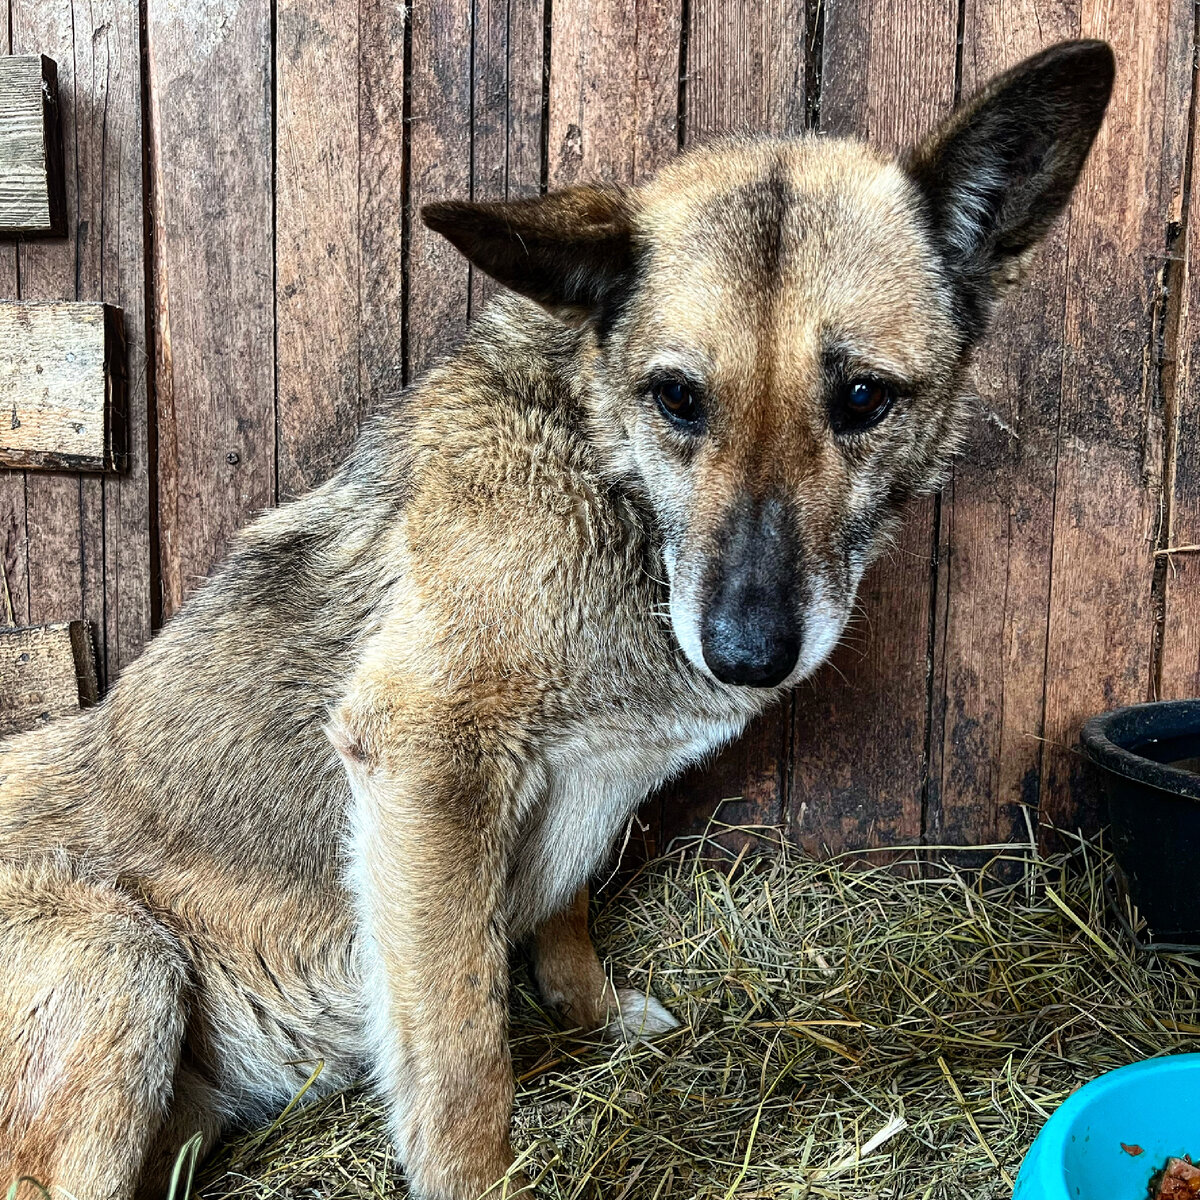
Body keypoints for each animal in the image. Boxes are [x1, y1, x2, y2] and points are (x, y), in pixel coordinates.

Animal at [0, 37, 1108, 1200]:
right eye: (678, 398)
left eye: (862, 398)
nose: (748, 656)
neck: (609, 477)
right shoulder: (423, 758)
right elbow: (462, 1068)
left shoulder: (581, 787)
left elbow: (565, 910)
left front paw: (592, 1010)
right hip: (123, 957)